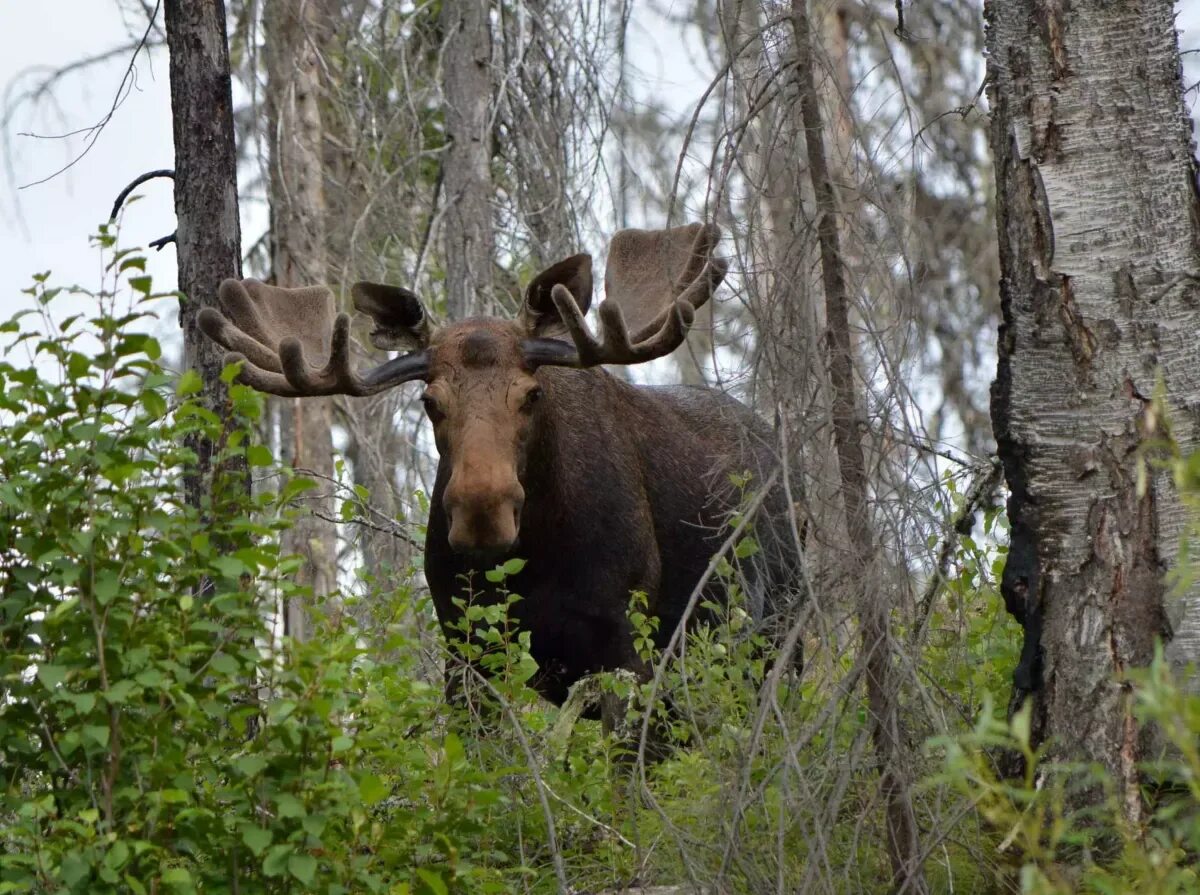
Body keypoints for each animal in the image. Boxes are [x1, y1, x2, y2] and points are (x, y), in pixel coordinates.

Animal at [199, 221, 796, 705]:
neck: (538, 561)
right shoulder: (467, 656)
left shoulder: (627, 652)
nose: (481, 512)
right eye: (429, 401)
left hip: (776, 636)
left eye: (533, 394)